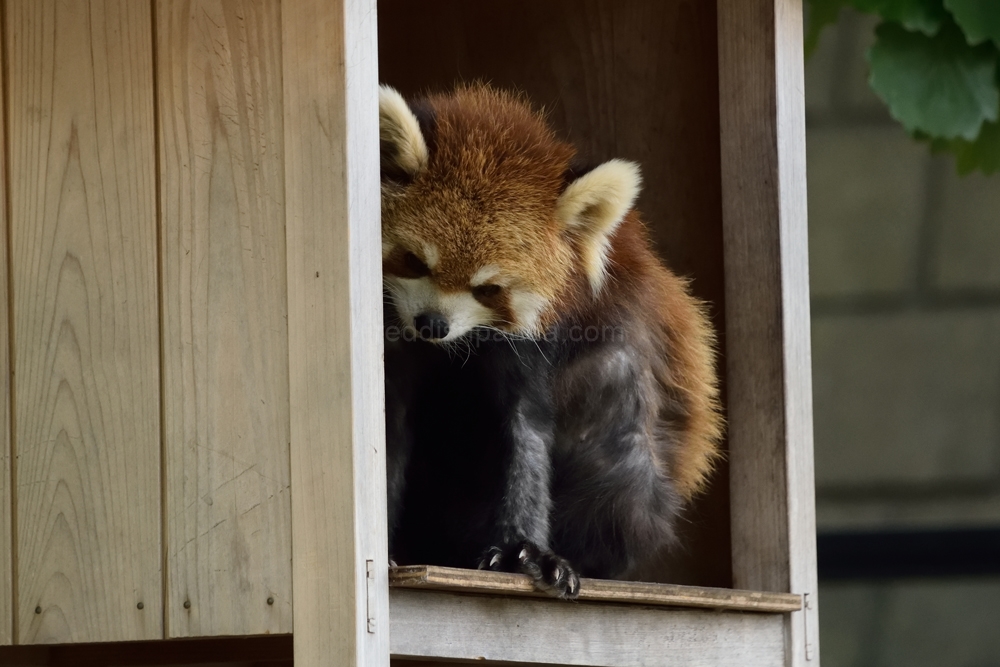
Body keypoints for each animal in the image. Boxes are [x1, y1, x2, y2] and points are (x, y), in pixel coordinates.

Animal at [380, 81, 720, 596]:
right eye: (415, 261)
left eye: (489, 289)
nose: (432, 325)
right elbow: (388, 430)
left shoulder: (536, 341)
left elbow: (526, 428)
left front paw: (526, 551)